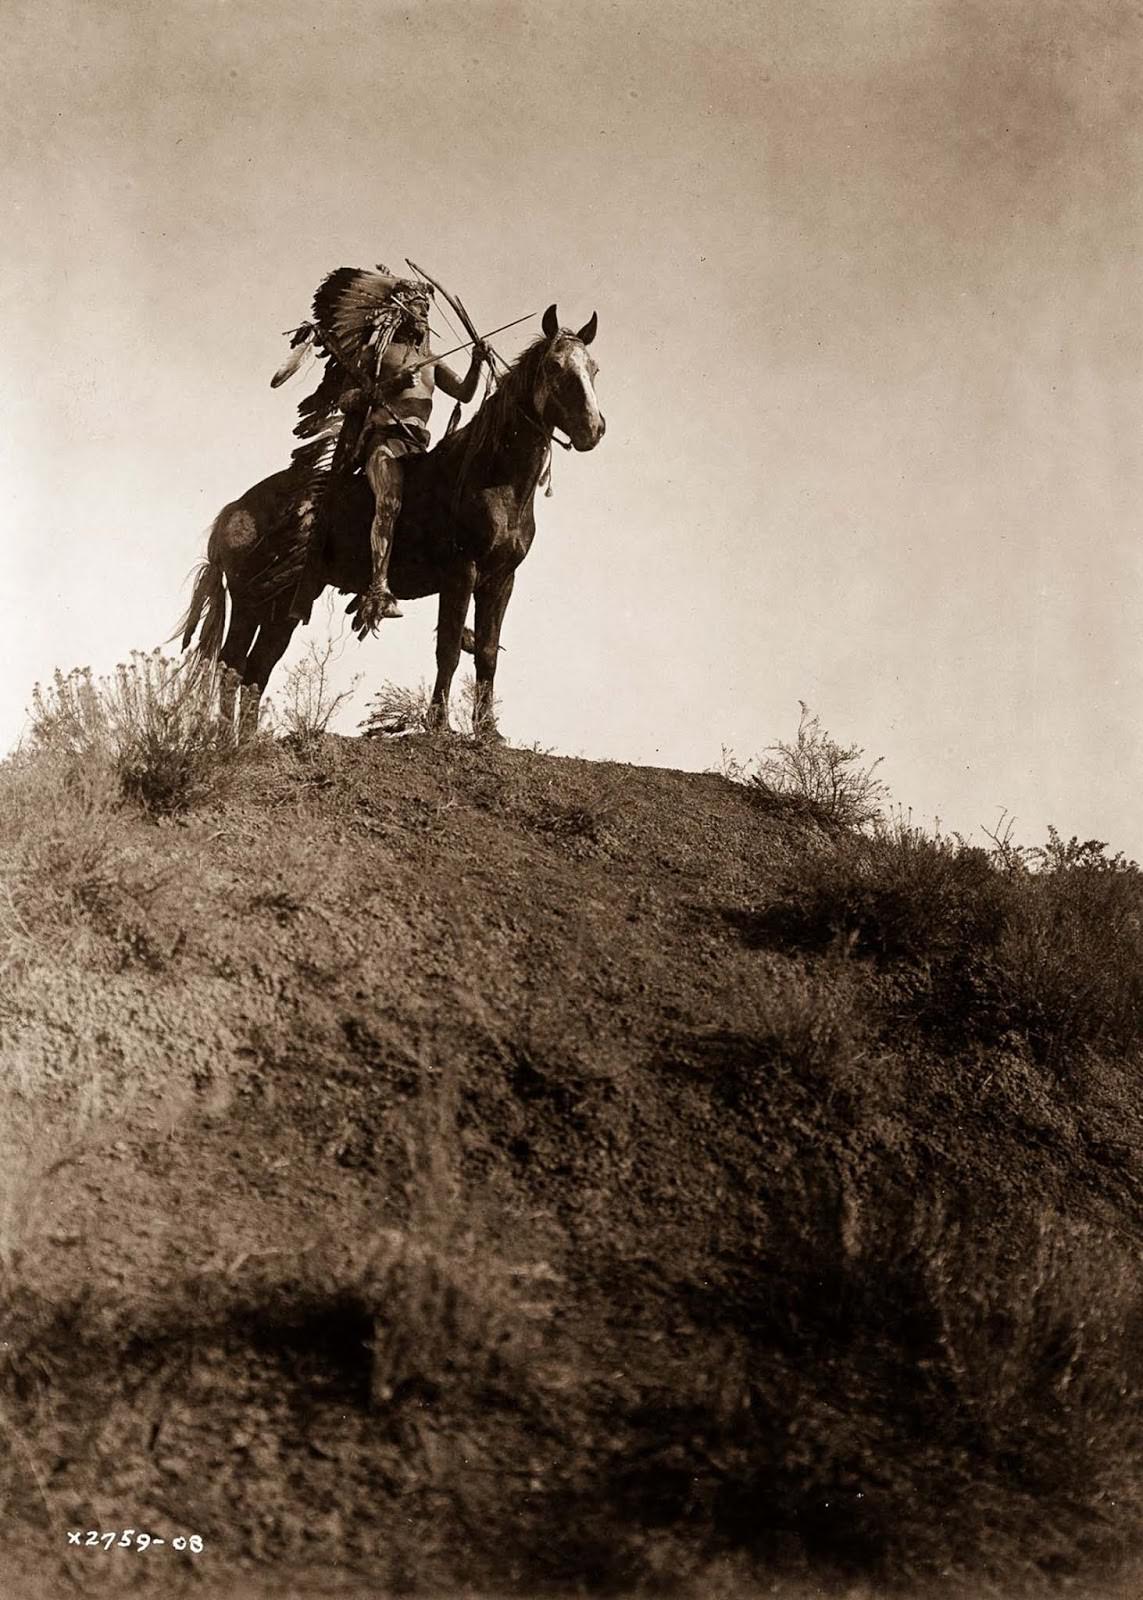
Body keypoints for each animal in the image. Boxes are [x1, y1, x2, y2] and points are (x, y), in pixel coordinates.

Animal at [174, 304, 601, 736]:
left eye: (593, 368)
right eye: (555, 366)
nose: (593, 429)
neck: (493, 476)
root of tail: (233, 511)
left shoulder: (501, 579)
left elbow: (486, 652)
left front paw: (487, 731)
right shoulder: (461, 572)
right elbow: (448, 648)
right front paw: (439, 724)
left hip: (282, 604)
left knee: (257, 669)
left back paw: (246, 739)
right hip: (249, 602)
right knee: (232, 664)